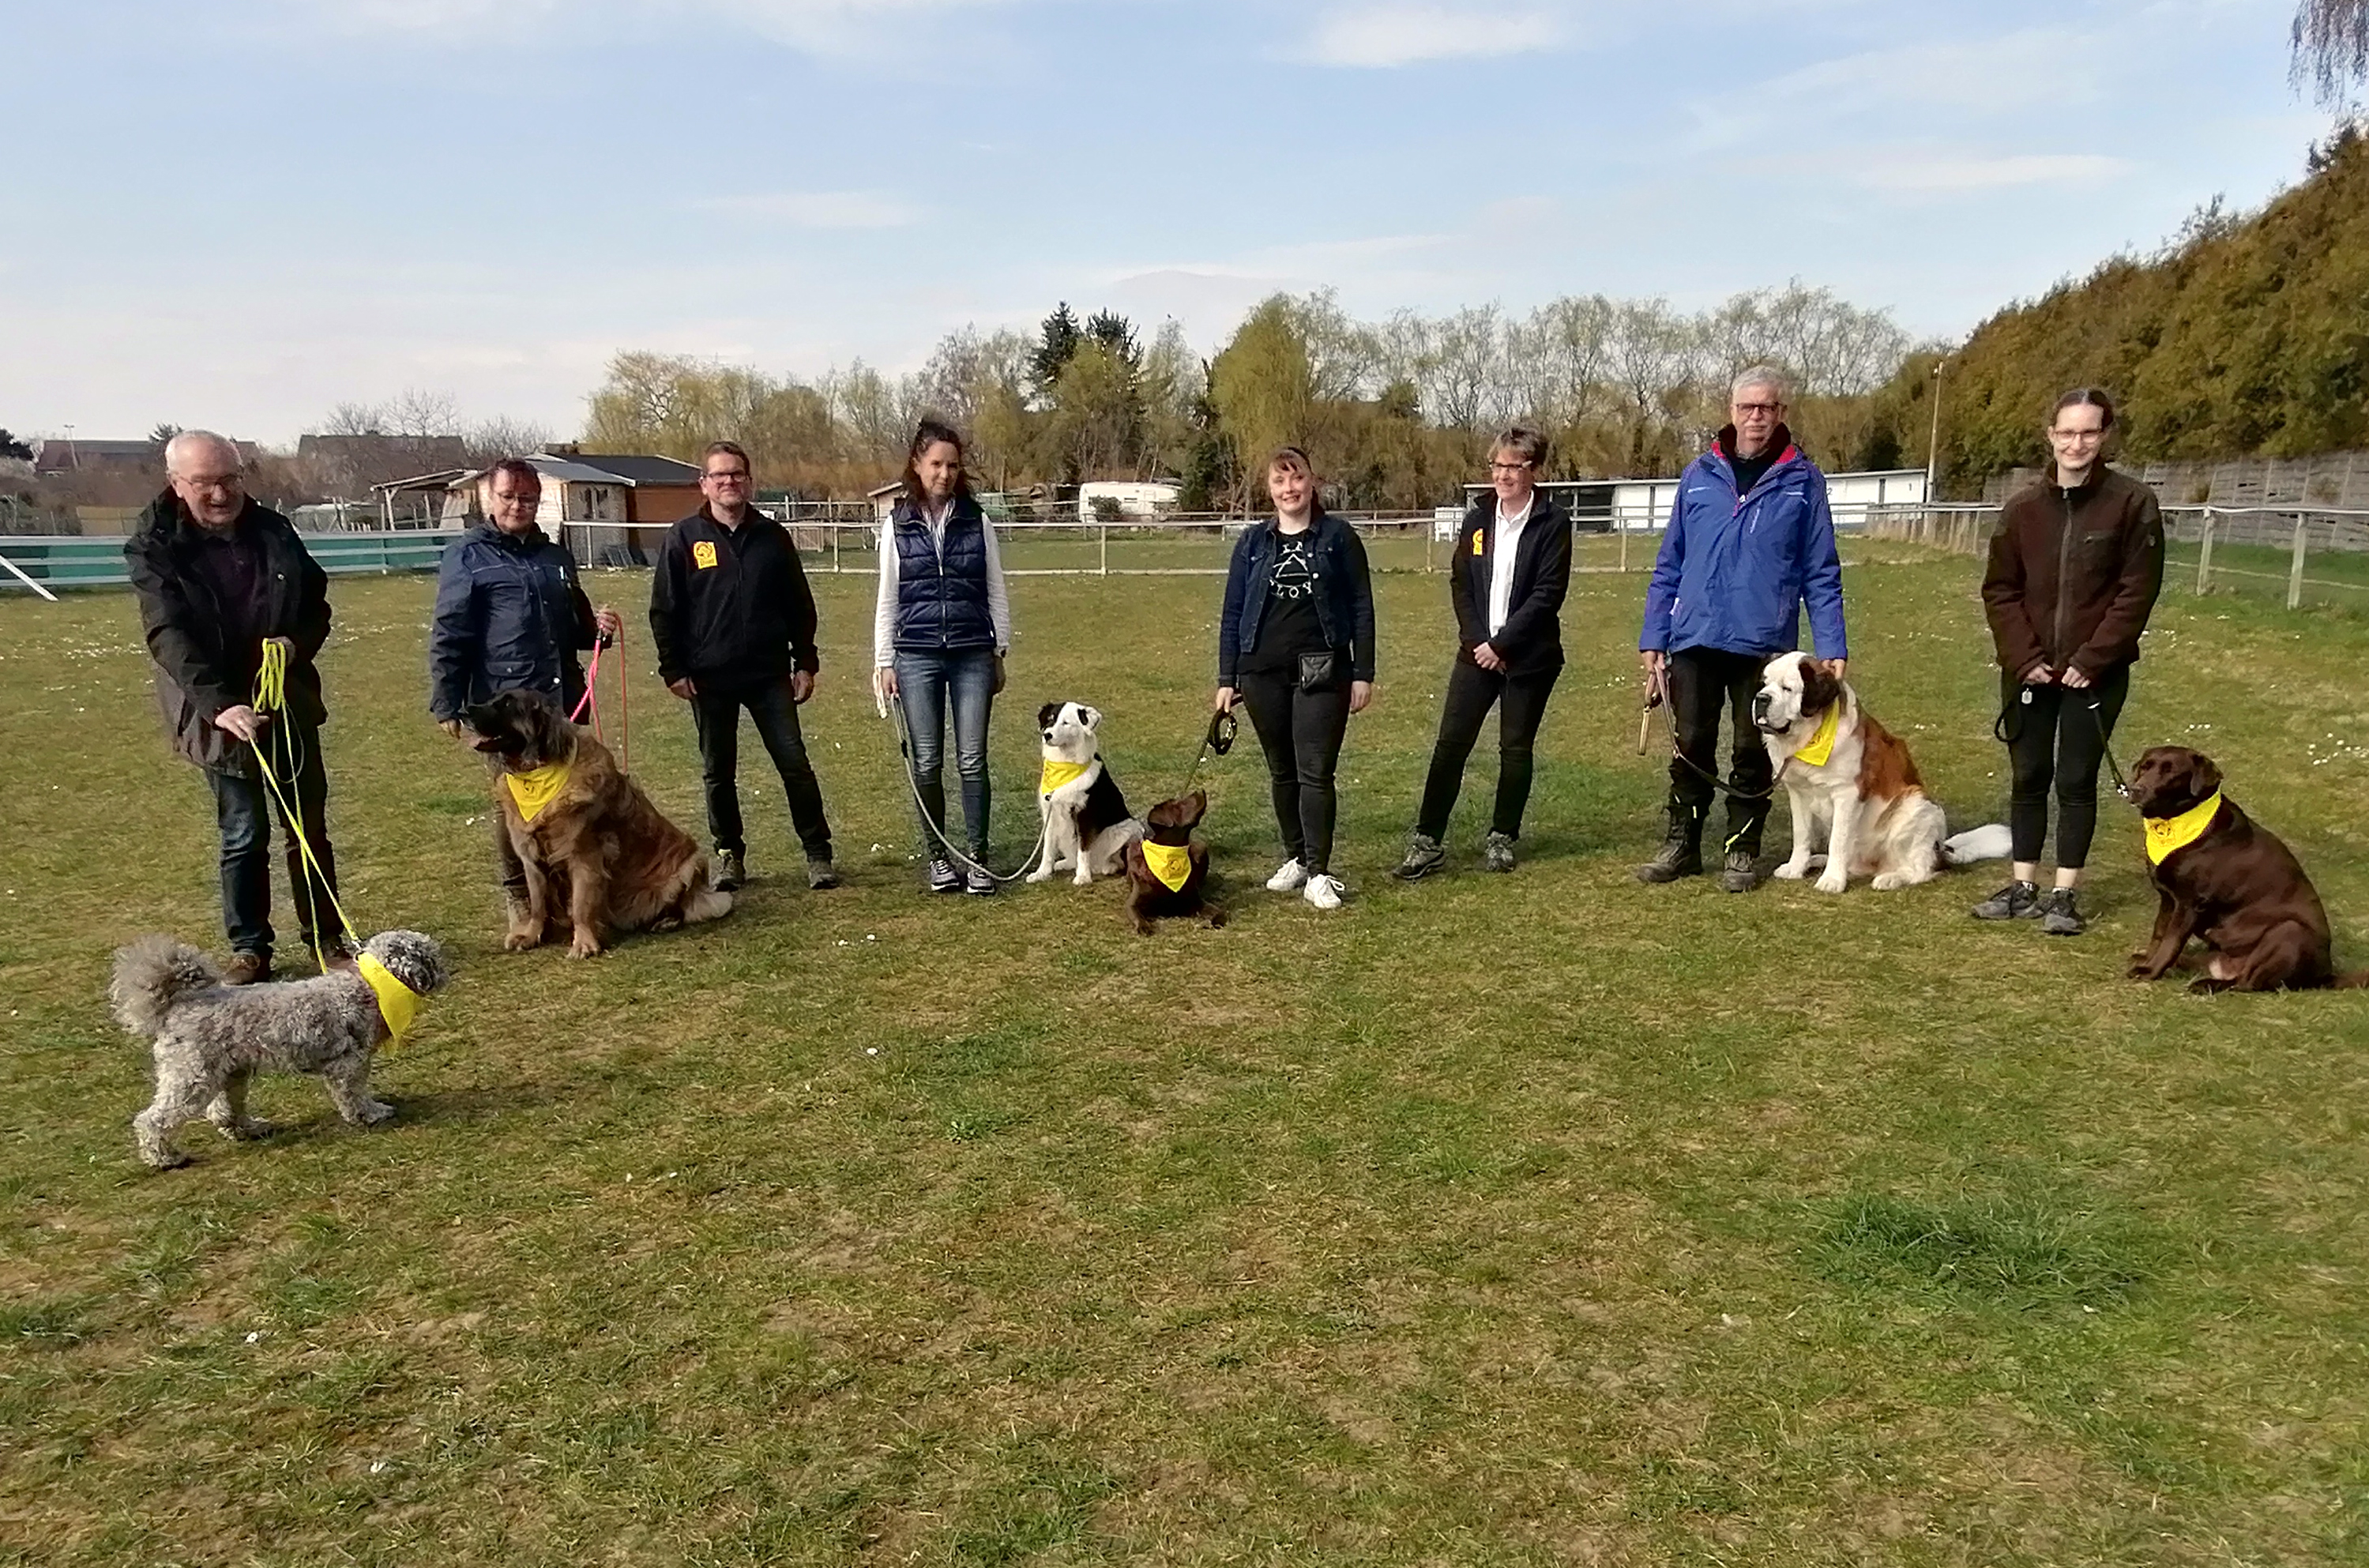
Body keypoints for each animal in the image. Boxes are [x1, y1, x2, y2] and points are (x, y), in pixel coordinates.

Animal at [113, 928, 449, 1175]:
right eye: (432, 956)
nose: (447, 972)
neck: (369, 986)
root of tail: (181, 1004)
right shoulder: (347, 1065)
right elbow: (354, 1096)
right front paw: (372, 1114)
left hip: (230, 1071)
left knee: (222, 1111)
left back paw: (248, 1129)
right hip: (191, 1076)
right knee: (153, 1120)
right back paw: (164, 1158)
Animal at [1028, 705, 1146, 890]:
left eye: (1066, 723)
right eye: (1050, 720)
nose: (1047, 735)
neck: (1065, 765)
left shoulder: (1083, 814)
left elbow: (1083, 849)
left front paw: (1083, 877)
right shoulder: (1051, 814)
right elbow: (1047, 848)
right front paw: (1041, 874)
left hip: (1128, 827)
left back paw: (1108, 867)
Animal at [1118, 800, 1222, 933]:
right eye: (1179, 805)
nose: (1201, 795)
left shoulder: (1195, 900)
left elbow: (1217, 913)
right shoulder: (1134, 901)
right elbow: (1135, 913)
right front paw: (1143, 926)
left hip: (1200, 848)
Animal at [1753, 649, 2009, 895]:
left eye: (1787, 688)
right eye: (1764, 684)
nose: (1761, 698)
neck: (1810, 736)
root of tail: (1941, 850)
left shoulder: (1847, 794)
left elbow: (1838, 840)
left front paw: (1832, 881)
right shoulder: (1798, 792)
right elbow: (1802, 834)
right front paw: (1796, 868)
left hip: (1917, 806)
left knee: (1920, 871)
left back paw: (1889, 878)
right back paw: (1818, 861)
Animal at [2123, 748, 2360, 995]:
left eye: (2171, 773)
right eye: (2145, 767)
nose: (2136, 789)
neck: (2175, 823)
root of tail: (2325, 976)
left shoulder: (2189, 902)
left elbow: (2170, 941)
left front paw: (2150, 971)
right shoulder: (2168, 898)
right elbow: (2159, 934)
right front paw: (2147, 960)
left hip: (2291, 932)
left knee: (2247, 983)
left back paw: (2206, 984)